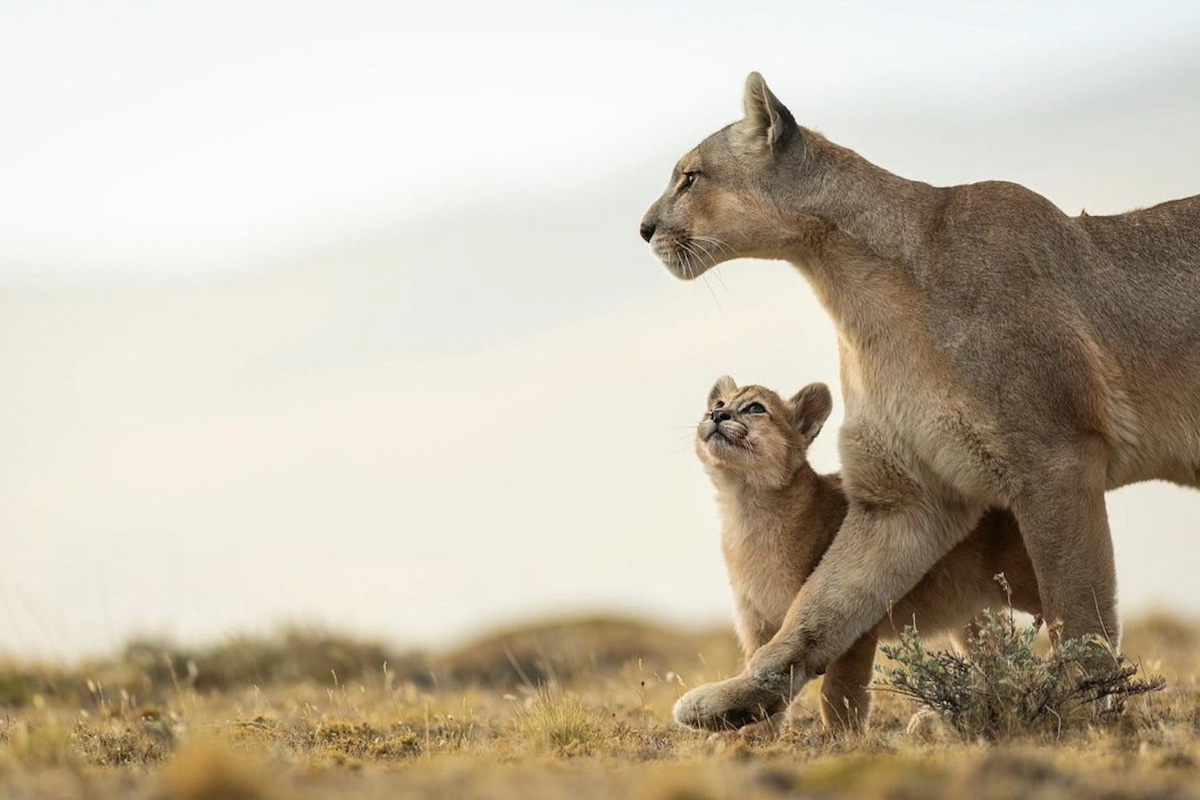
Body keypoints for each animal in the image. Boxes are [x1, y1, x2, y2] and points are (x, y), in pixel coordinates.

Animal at [697, 375, 1039, 731]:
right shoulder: (757, 626)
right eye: (718, 403)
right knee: (995, 664)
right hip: (970, 618)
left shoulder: (856, 624)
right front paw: (752, 734)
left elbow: (839, 691)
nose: (716, 415)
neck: (746, 510)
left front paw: (842, 736)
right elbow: (764, 683)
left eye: (755, 408)